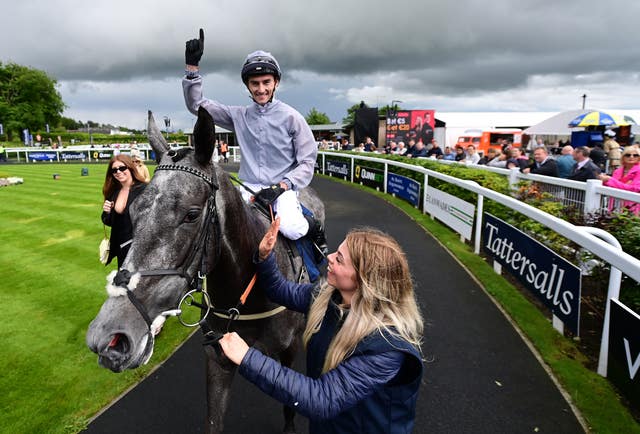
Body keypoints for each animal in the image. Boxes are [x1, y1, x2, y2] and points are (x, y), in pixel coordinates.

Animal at [86, 108, 324, 434]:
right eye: (133, 211)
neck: (248, 296)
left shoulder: (288, 351)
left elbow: (291, 405)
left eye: (191, 214)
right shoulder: (217, 357)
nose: (109, 336)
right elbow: (214, 421)